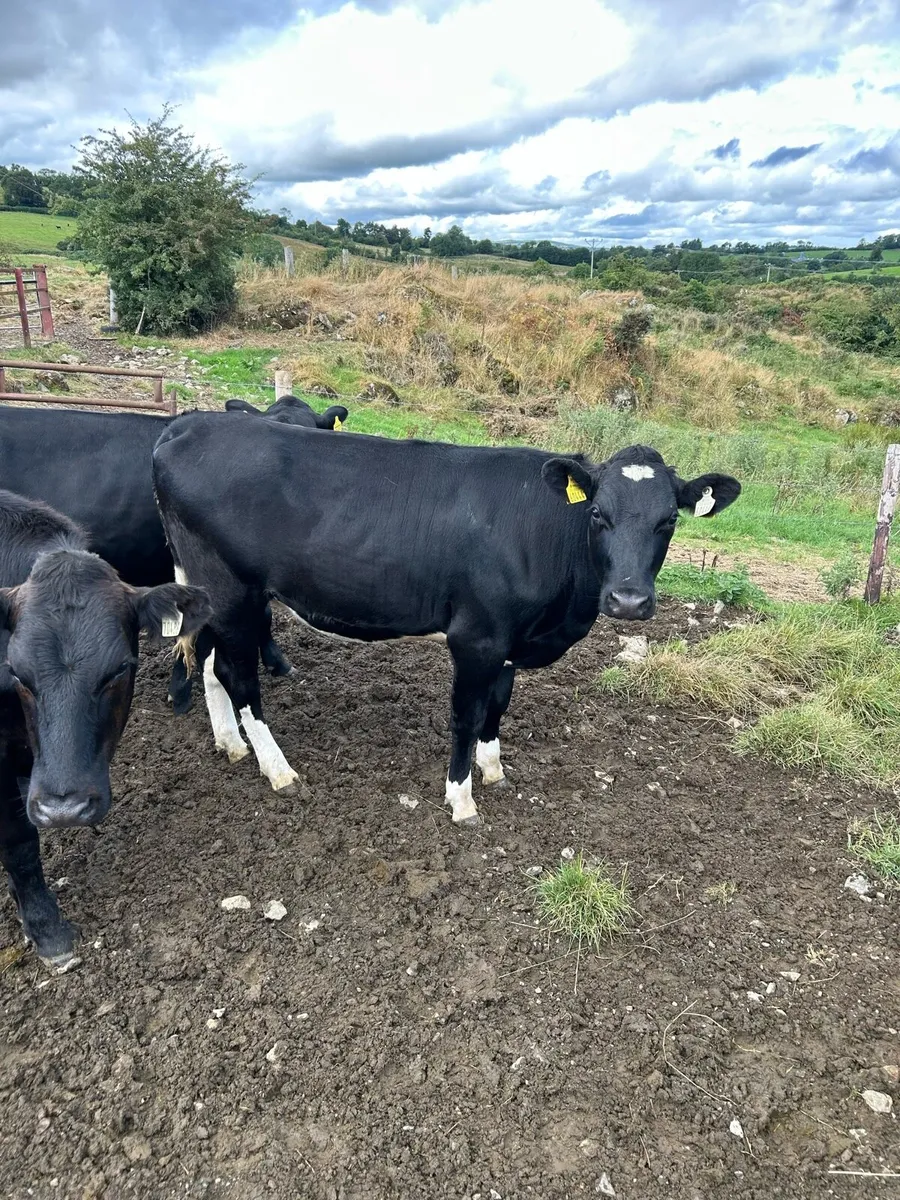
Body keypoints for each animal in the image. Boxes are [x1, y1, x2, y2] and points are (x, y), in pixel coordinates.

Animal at [152, 416, 740, 825]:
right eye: (598, 513)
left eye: (669, 521)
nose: (628, 600)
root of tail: (188, 424)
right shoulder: (476, 637)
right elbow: (466, 714)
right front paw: (461, 798)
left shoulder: (508, 640)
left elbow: (497, 706)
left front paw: (493, 768)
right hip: (233, 591)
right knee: (239, 677)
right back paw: (277, 769)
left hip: (215, 595)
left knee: (212, 666)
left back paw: (231, 745)